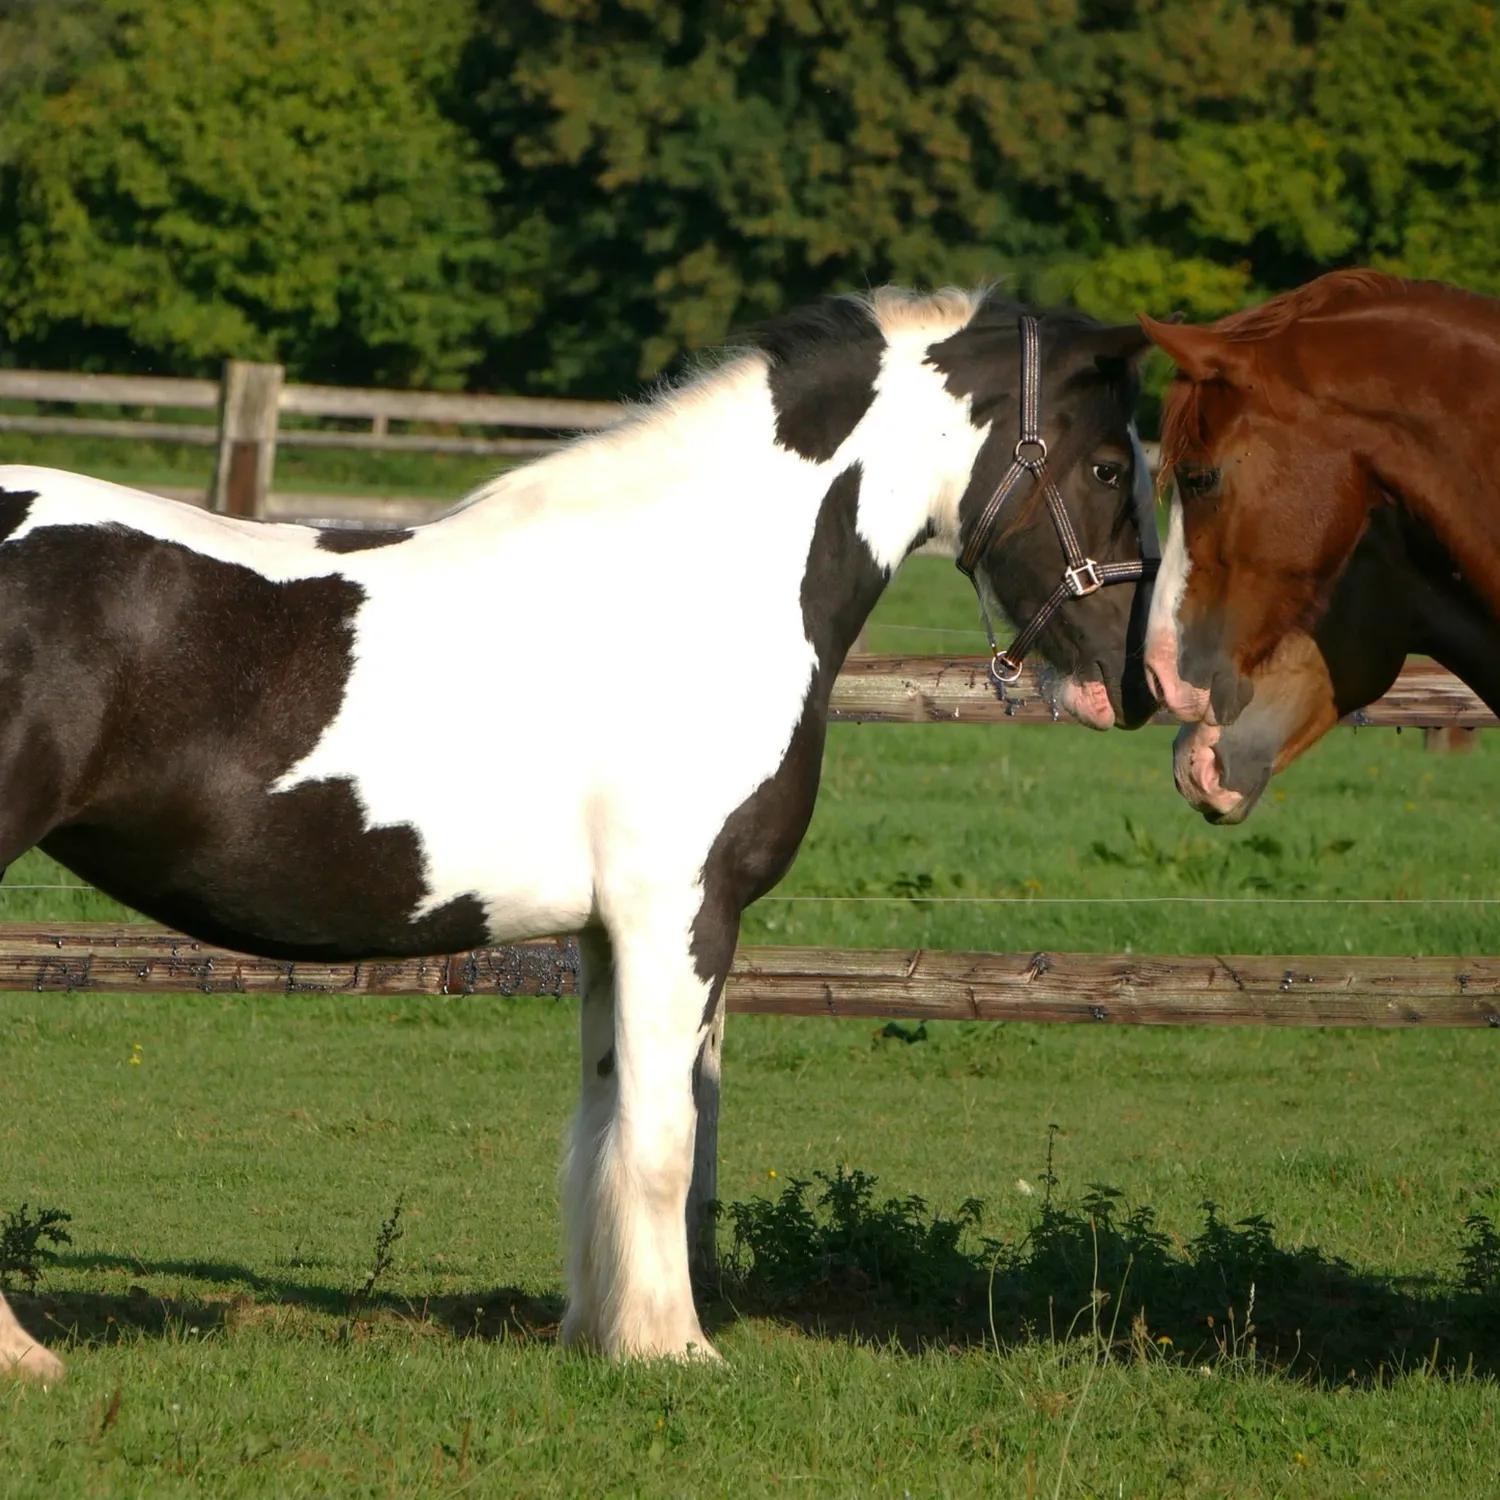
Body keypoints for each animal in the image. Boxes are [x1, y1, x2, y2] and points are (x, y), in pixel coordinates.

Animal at [0, 287, 1159, 1380]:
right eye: (1109, 467)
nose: (1137, 683)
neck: (691, 589)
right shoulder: (676, 915)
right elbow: (663, 1142)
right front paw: (675, 1349)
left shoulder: (609, 935)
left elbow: (604, 1130)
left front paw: (602, 1335)